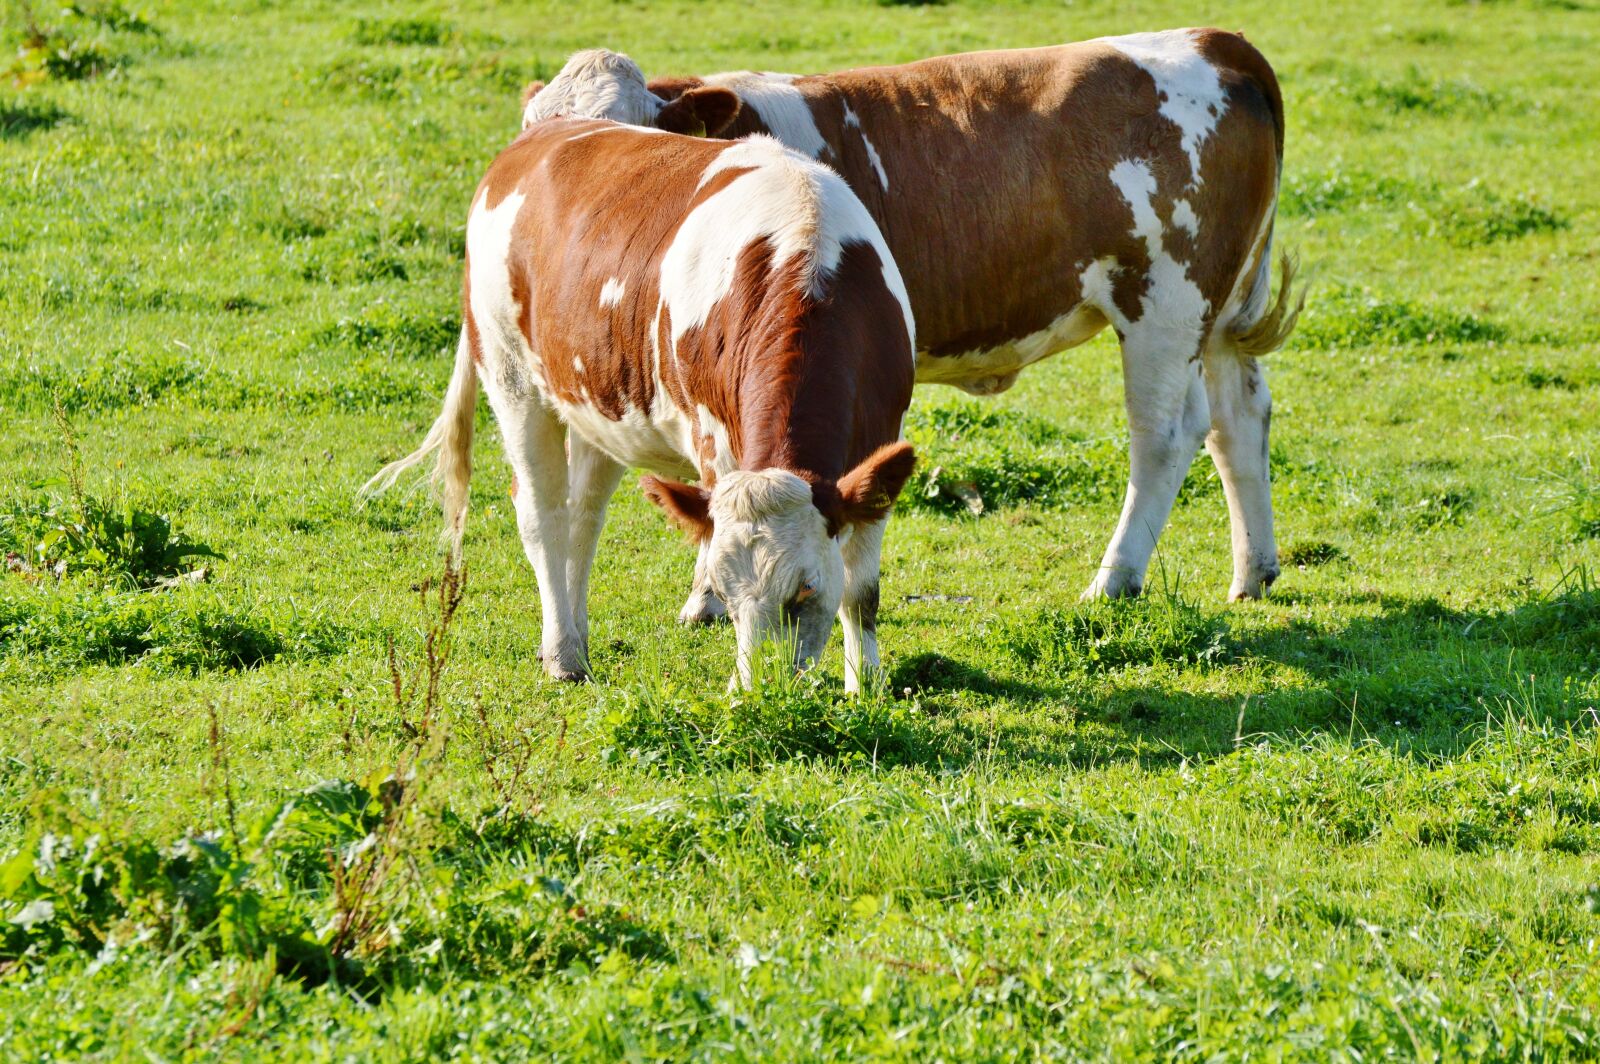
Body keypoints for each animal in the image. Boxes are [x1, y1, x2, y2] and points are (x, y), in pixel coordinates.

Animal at [364, 51, 919, 690]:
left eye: (804, 592)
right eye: (725, 596)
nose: (758, 695)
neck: (811, 259)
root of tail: (537, 138)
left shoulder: (879, 443)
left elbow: (861, 588)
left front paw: (865, 686)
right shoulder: (715, 444)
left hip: (597, 398)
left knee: (584, 515)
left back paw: (576, 641)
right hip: (510, 374)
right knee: (543, 514)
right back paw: (562, 652)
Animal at [520, 30, 1300, 621]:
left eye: (628, 129)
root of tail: (1214, 41)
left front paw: (707, 602)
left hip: (1164, 303)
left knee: (1167, 435)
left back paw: (1114, 580)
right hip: (1218, 313)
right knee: (1241, 417)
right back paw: (1253, 571)